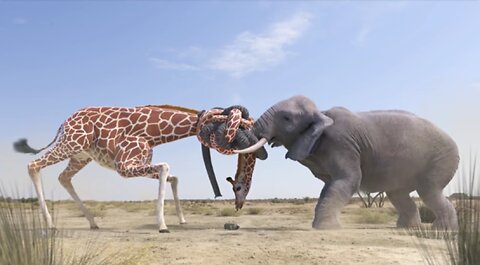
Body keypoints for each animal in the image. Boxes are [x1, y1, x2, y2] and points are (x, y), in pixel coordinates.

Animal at [14, 104, 258, 232]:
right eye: (237, 126)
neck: (154, 134)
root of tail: (64, 123)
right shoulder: (124, 166)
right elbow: (166, 168)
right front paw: (162, 225)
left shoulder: (137, 163)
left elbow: (173, 176)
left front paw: (181, 220)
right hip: (70, 145)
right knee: (33, 165)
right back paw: (49, 224)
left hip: (80, 156)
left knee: (64, 178)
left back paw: (93, 222)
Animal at [236, 95, 458, 229]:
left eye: (287, 119)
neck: (322, 114)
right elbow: (329, 186)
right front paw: (321, 226)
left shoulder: (342, 144)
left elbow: (348, 180)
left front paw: (325, 229)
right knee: (398, 194)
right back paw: (408, 227)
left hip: (441, 159)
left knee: (428, 190)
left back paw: (442, 229)